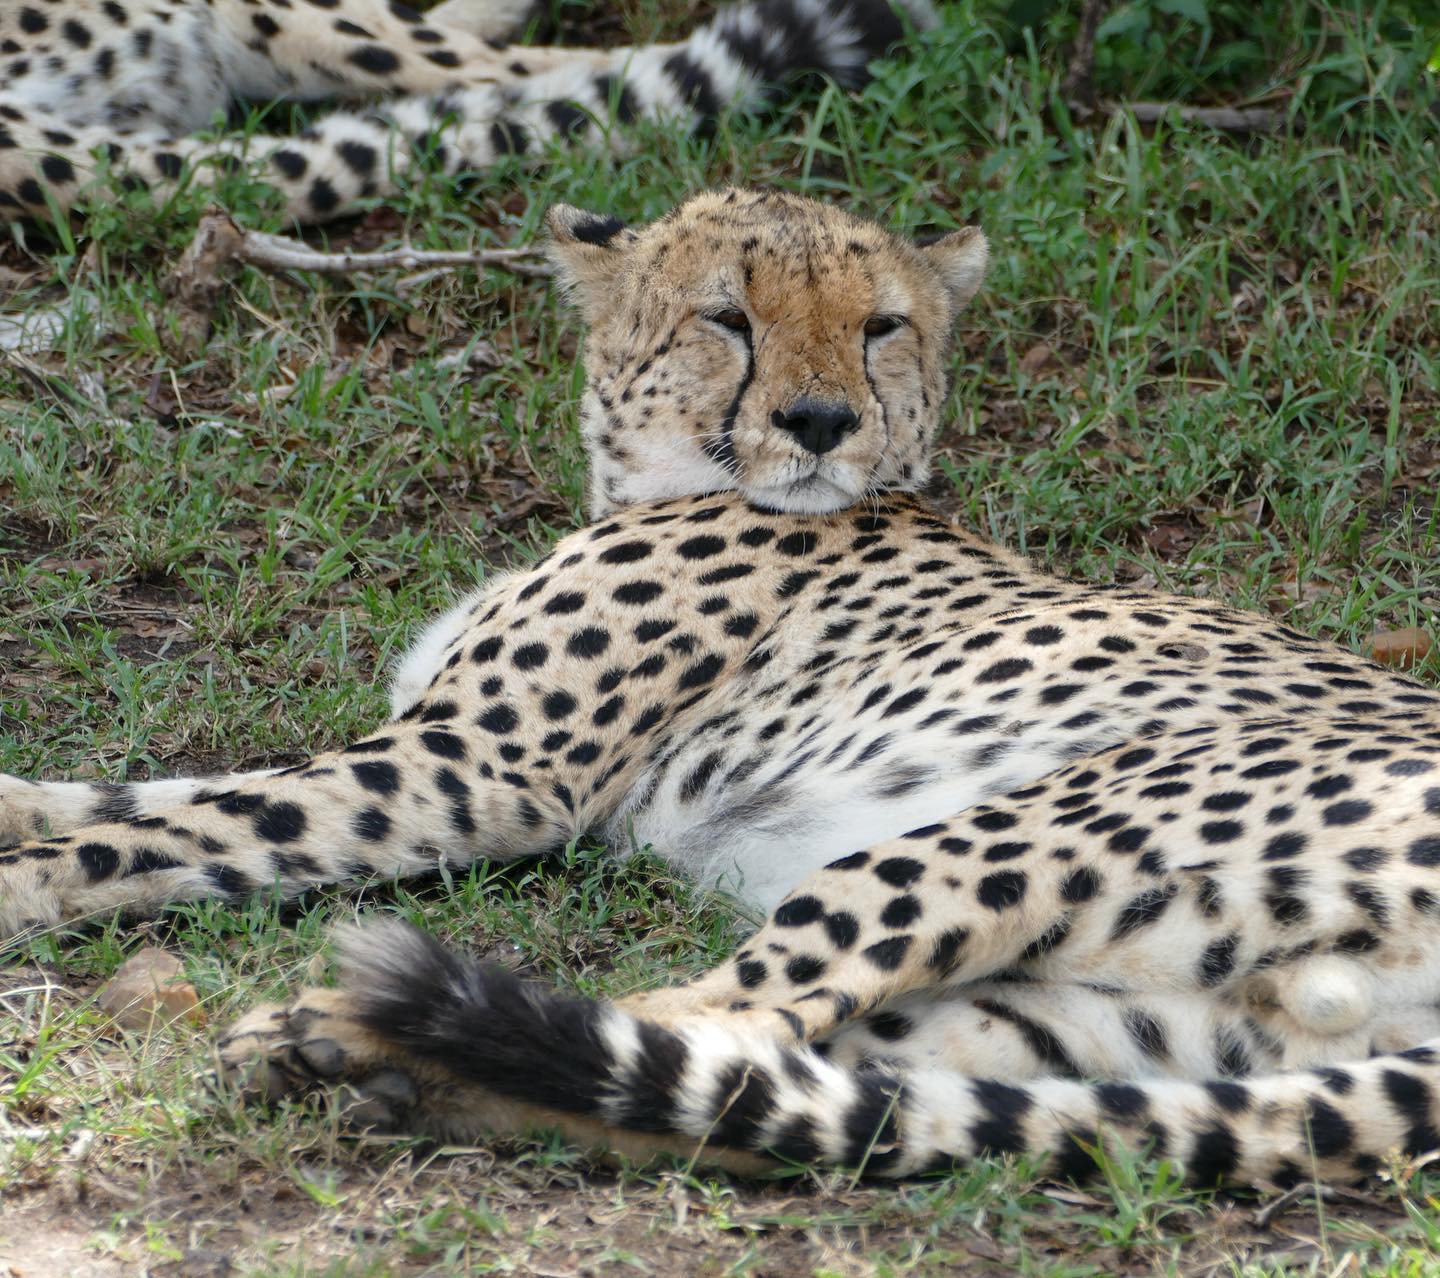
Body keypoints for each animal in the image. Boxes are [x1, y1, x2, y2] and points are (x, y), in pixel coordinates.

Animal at [2, 189, 1440, 1185]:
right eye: (727, 317)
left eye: (881, 326)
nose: (819, 422)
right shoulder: (434, 743)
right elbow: (141, 794)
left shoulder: (478, 770)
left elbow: (172, 828)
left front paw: (22, 891)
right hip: (1115, 1029)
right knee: (763, 1082)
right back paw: (404, 1078)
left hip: (1029, 824)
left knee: (731, 1017)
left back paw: (348, 1034)